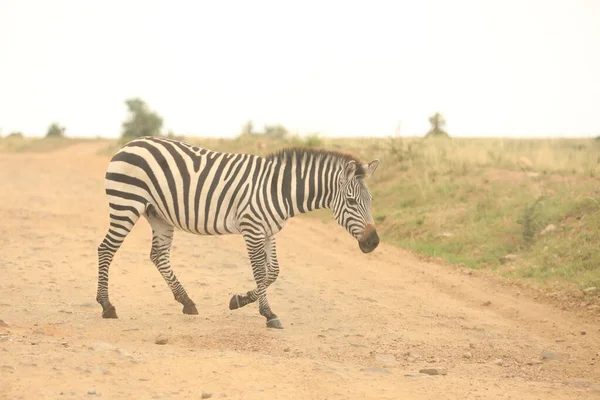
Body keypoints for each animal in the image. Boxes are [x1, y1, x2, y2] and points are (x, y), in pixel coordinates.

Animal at [98, 136, 380, 330]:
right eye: (352, 202)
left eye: (371, 201)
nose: (374, 242)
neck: (279, 190)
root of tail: (130, 144)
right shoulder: (252, 228)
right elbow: (260, 272)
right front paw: (268, 314)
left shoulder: (268, 231)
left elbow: (273, 271)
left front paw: (239, 300)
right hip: (126, 203)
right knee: (106, 249)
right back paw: (107, 306)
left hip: (158, 215)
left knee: (158, 256)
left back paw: (187, 302)